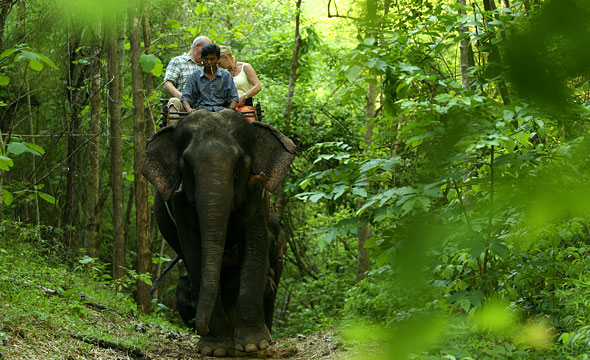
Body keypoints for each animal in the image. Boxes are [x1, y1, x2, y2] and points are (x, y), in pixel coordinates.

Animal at [142, 109, 298, 358]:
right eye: (186, 164)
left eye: (239, 162)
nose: (198, 325)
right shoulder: (179, 202)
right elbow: (195, 255)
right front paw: (215, 349)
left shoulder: (257, 194)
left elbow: (254, 249)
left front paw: (255, 345)